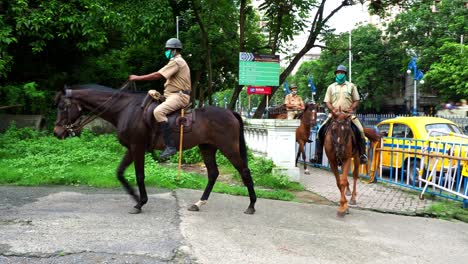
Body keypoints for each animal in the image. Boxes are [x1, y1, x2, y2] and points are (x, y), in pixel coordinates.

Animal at [53, 84, 258, 214]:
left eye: (63, 107)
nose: (57, 132)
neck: (125, 109)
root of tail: (231, 112)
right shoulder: (131, 148)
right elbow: (120, 173)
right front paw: (136, 198)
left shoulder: (137, 147)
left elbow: (139, 175)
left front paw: (140, 202)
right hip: (207, 148)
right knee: (213, 173)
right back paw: (199, 203)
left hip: (228, 148)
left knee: (244, 171)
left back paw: (251, 205)